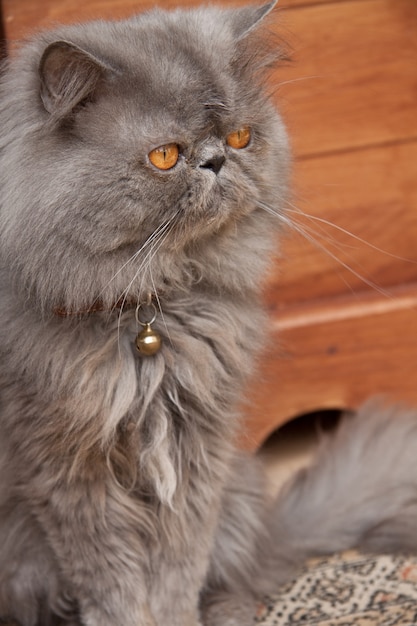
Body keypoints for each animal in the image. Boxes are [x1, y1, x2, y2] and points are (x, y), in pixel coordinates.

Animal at [0, 3, 416, 624]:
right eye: (165, 156)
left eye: (241, 137)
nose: (217, 160)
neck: (153, 312)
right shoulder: (65, 467)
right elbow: (114, 585)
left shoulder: (198, 449)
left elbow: (179, 570)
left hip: (236, 492)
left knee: (239, 581)